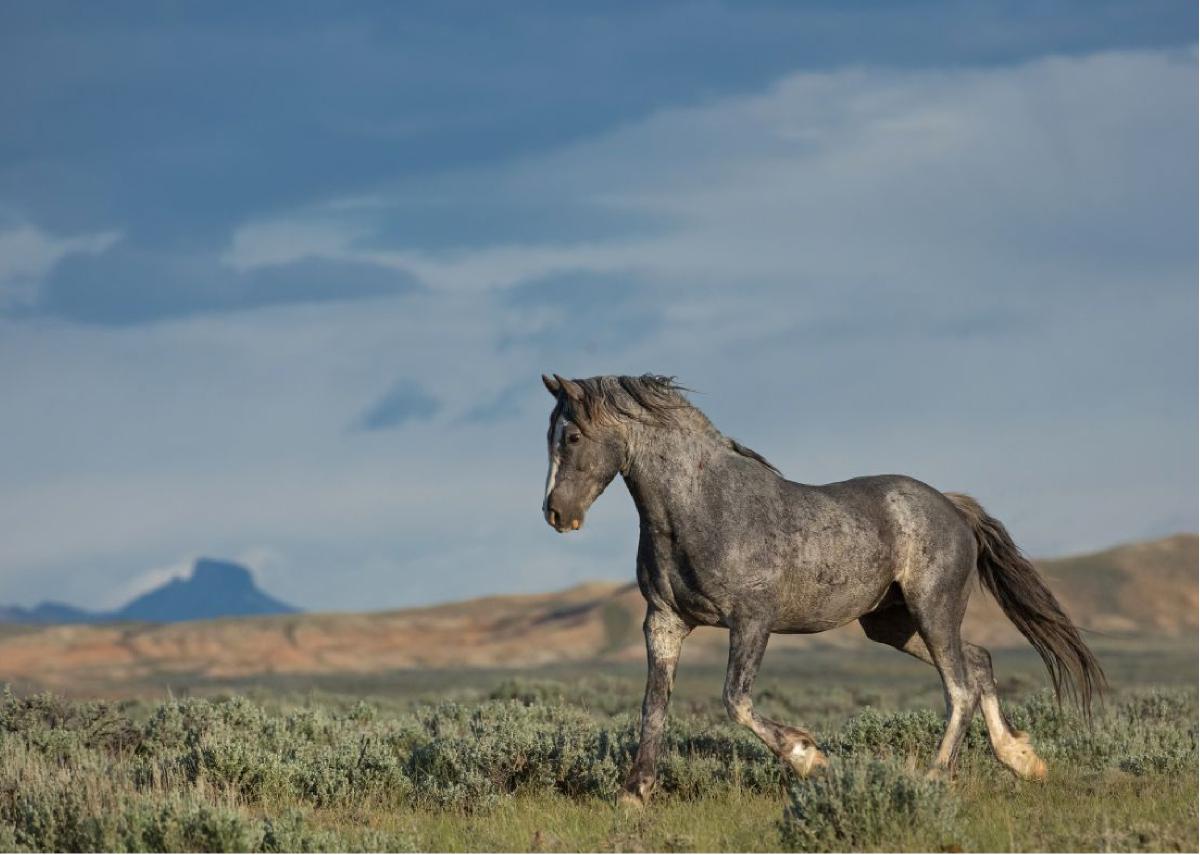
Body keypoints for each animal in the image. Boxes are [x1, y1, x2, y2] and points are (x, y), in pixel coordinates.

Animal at [540, 372, 1099, 802]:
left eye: (572, 437)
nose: (555, 514)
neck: (701, 507)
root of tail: (953, 506)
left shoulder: (752, 621)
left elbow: (735, 700)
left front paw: (811, 759)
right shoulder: (664, 621)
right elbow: (653, 706)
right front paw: (634, 793)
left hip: (932, 609)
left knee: (959, 687)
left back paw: (936, 777)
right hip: (892, 624)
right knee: (979, 663)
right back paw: (1022, 759)